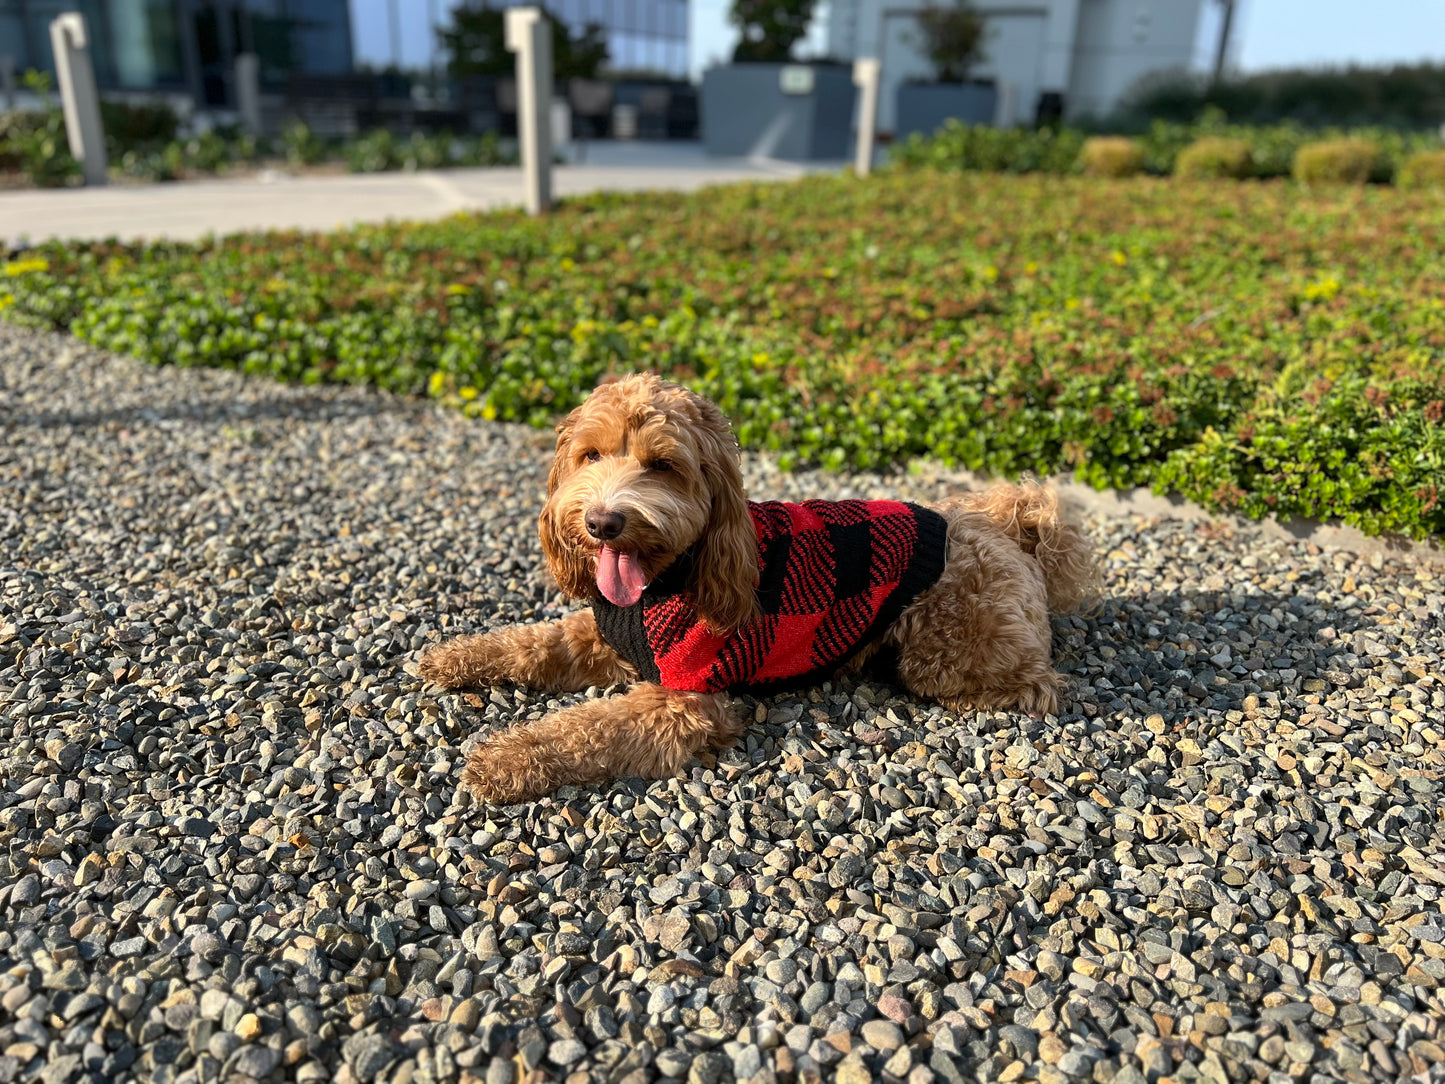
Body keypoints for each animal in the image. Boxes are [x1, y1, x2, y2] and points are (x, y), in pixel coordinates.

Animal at [419, 378, 1092, 803]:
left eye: (662, 466)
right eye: (590, 455)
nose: (603, 522)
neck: (672, 573)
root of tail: (1008, 528)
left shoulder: (682, 700)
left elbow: (582, 728)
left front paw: (502, 759)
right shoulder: (602, 633)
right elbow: (530, 642)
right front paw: (455, 658)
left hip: (943, 650)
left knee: (1039, 684)